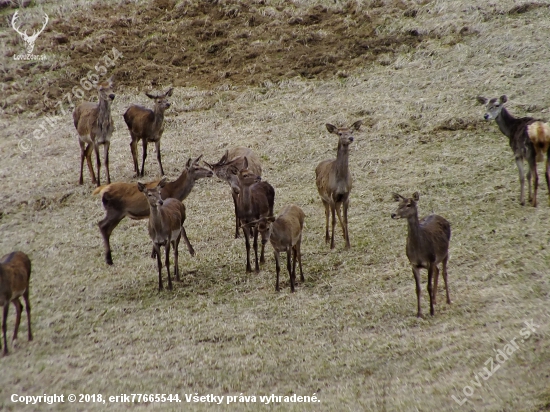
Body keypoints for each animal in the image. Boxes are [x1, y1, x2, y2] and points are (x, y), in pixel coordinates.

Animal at [314, 119, 362, 248]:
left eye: (351, 131)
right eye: (340, 133)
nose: (351, 138)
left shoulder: (346, 196)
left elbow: (345, 219)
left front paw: (348, 244)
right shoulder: (331, 196)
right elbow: (333, 220)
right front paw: (332, 245)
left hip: (337, 200)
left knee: (337, 211)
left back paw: (344, 235)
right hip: (323, 196)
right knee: (327, 214)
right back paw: (327, 238)